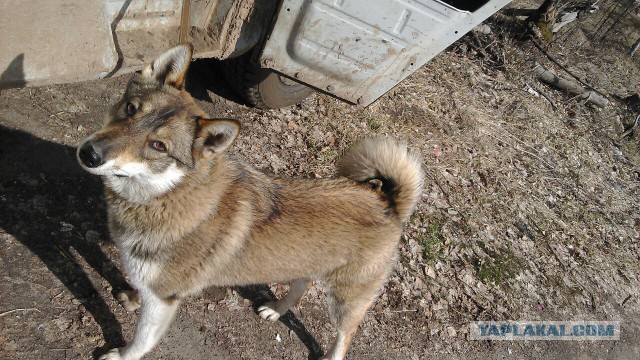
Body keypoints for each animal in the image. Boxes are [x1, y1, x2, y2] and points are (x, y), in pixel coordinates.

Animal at [76, 44, 424, 360]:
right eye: (131, 108)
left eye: (158, 146)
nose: (89, 154)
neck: (167, 195)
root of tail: (387, 202)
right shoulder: (151, 283)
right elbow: (139, 289)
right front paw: (133, 297)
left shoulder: (163, 301)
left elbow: (140, 342)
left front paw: (120, 355)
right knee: (301, 284)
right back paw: (277, 310)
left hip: (345, 301)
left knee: (345, 335)